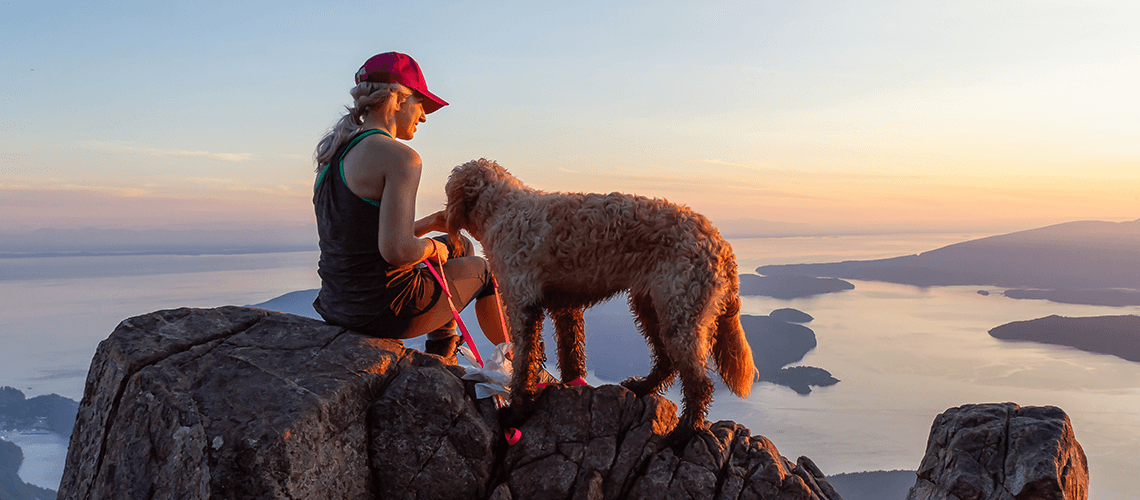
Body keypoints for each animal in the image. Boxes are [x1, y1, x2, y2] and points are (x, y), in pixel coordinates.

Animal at [444, 157, 756, 441]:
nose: (443, 216)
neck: (503, 209)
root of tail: (720, 243)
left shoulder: (522, 305)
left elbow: (524, 363)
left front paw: (518, 411)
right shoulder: (565, 307)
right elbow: (570, 353)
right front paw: (571, 385)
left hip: (680, 314)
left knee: (698, 382)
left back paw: (685, 432)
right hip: (651, 305)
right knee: (667, 362)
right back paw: (642, 387)